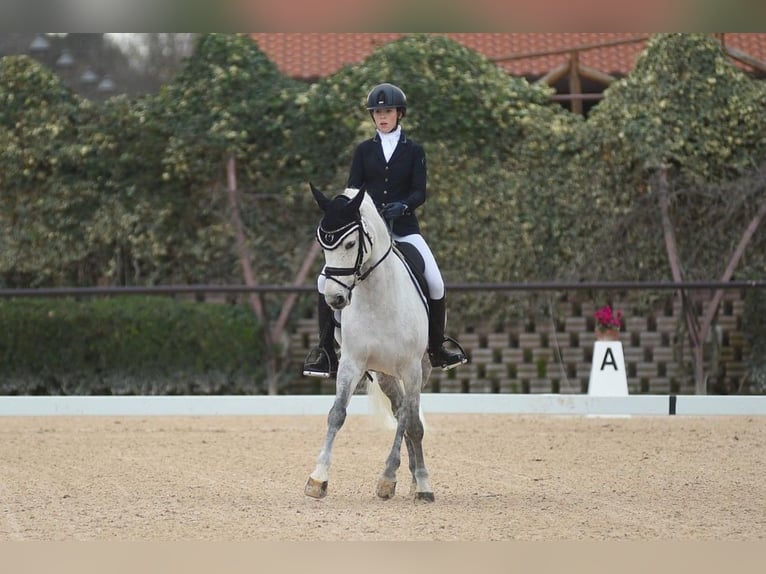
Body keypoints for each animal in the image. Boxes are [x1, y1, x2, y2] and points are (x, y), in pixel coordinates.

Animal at [304, 184, 435, 502]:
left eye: (350, 244)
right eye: (323, 246)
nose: (335, 299)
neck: (379, 300)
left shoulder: (411, 369)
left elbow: (411, 422)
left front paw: (399, 481)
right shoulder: (352, 363)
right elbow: (337, 414)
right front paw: (317, 479)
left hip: (420, 370)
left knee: (410, 418)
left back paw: (414, 480)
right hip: (383, 373)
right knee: (400, 411)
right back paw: (408, 476)